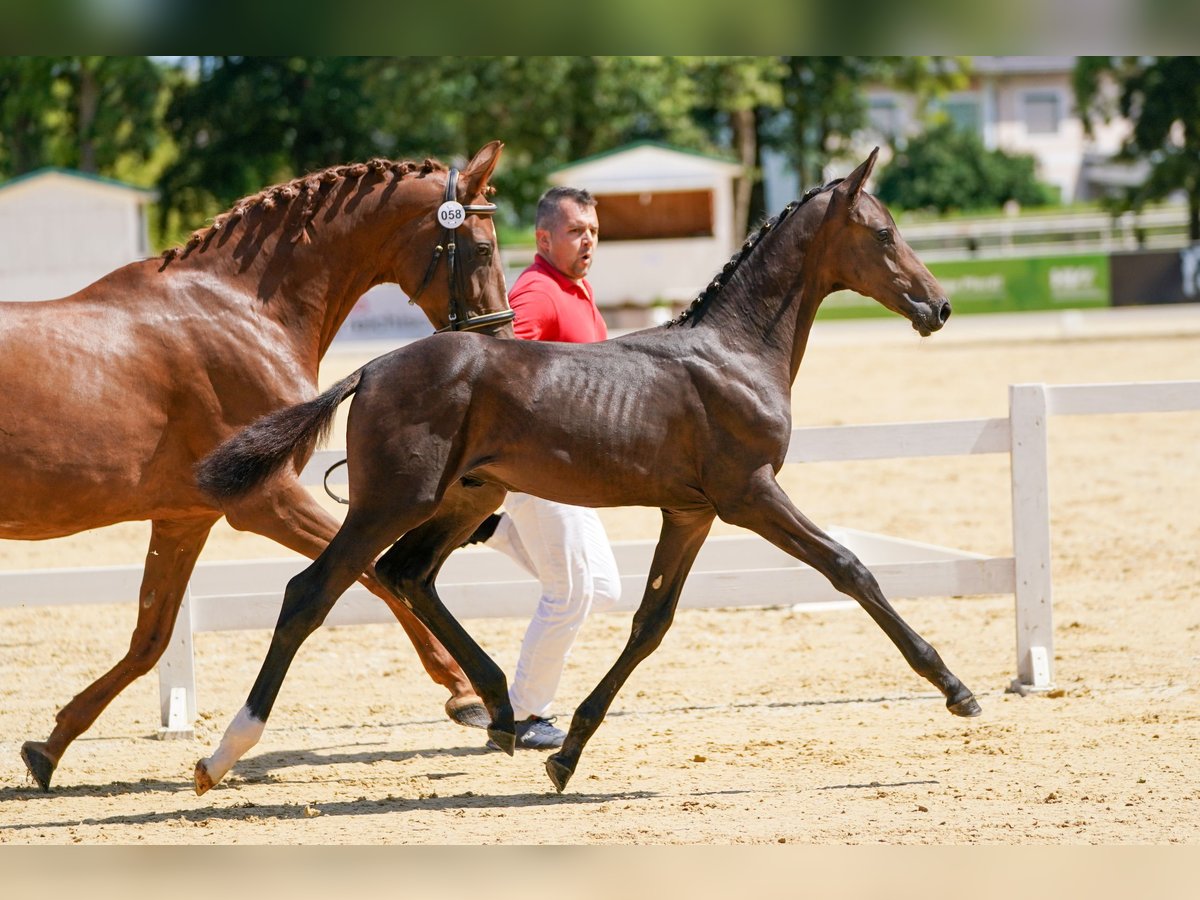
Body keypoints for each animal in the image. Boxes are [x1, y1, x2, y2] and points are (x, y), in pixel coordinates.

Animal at [10, 139, 516, 787]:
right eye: (482, 249)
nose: (498, 343)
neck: (244, 310)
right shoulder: (266, 501)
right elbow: (370, 575)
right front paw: (465, 695)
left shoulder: (184, 518)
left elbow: (150, 638)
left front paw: (50, 745)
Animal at [192, 148, 979, 796]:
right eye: (882, 234)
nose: (939, 305)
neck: (735, 352)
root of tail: (373, 367)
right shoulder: (750, 492)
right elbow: (850, 568)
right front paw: (955, 687)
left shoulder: (690, 512)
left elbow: (650, 624)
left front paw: (567, 754)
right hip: (391, 502)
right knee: (312, 592)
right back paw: (222, 754)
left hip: (465, 498)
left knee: (406, 575)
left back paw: (502, 709)